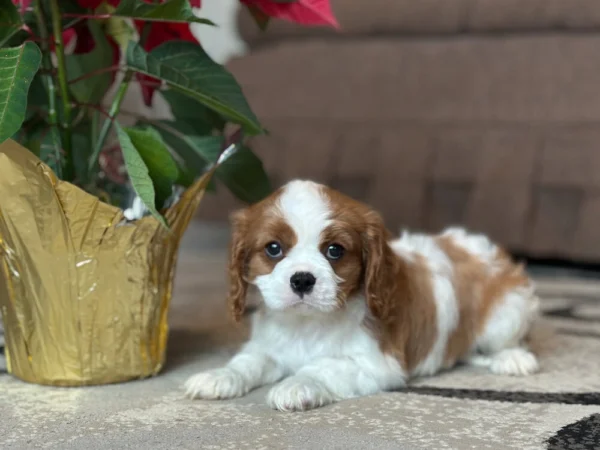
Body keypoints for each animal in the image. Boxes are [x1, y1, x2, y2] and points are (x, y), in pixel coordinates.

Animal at [184, 180, 540, 412]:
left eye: (334, 250)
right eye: (273, 249)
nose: (302, 279)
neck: (307, 324)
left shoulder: (376, 365)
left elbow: (323, 366)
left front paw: (296, 385)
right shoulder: (269, 346)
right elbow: (247, 362)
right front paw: (218, 376)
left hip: (507, 314)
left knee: (509, 341)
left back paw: (513, 358)